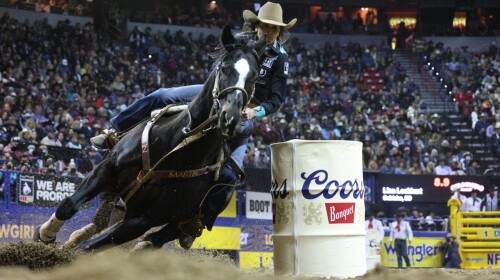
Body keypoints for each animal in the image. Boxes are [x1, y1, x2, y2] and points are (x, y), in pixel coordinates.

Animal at [35, 26, 268, 252]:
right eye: (225, 68)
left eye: (255, 77)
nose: (230, 117)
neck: (174, 149)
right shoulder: (106, 169)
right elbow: (68, 205)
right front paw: (45, 235)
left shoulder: (142, 220)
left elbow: (89, 249)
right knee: (100, 223)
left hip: (177, 223)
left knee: (150, 242)